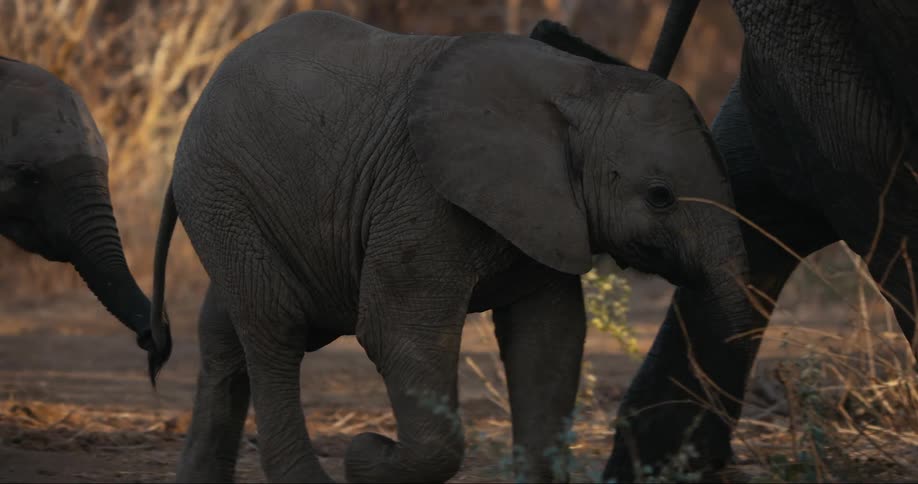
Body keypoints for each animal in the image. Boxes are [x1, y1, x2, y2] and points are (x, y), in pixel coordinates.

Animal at [148, 10, 750, 483]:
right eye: (660, 197)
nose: (721, 460)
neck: (582, 84)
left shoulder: (547, 214)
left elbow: (549, 344)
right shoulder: (420, 193)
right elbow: (396, 332)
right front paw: (367, 455)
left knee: (224, 334)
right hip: (222, 189)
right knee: (276, 328)